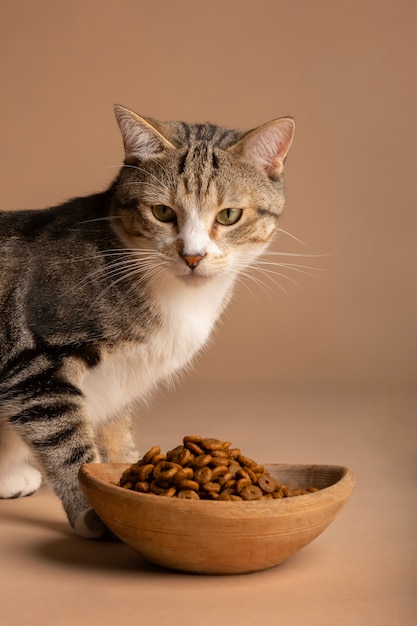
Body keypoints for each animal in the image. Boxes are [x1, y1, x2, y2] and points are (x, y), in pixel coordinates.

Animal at [0, 105, 292, 532]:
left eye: (229, 215)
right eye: (162, 212)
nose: (193, 256)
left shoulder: (119, 380)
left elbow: (117, 433)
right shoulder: (35, 363)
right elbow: (68, 444)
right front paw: (93, 511)